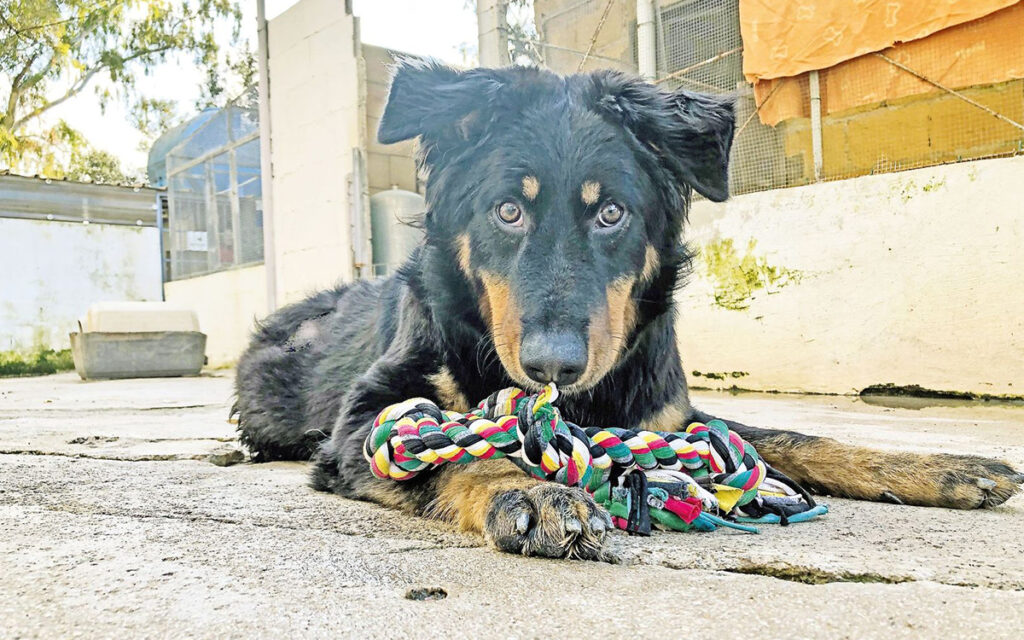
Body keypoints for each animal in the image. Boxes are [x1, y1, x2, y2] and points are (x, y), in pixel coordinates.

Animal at [234, 61, 1024, 557]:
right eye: (508, 211)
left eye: (611, 212)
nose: (553, 367)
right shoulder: (366, 421)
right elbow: (453, 454)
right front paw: (528, 492)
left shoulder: (667, 415)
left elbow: (800, 438)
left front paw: (939, 466)